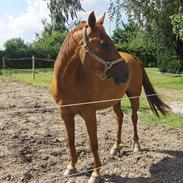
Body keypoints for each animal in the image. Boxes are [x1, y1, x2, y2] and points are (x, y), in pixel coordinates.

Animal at [51, 12, 170, 182]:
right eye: (104, 44)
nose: (125, 73)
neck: (70, 82)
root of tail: (134, 58)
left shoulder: (89, 114)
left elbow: (93, 143)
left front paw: (95, 174)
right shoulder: (65, 114)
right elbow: (70, 141)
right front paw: (71, 167)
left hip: (134, 96)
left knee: (134, 118)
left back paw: (136, 146)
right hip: (115, 100)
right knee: (119, 118)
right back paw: (115, 147)